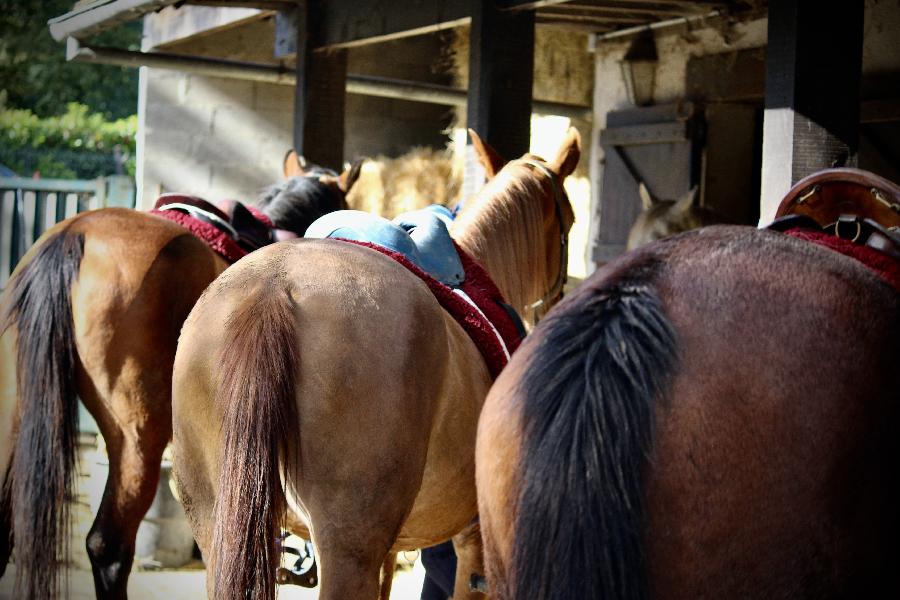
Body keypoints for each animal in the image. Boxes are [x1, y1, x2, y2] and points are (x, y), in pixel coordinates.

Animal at [170, 127, 584, 600]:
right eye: (570, 221)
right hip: (349, 545)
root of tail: (272, 290)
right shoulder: (474, 544)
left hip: (220, 527)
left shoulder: (391, 549)